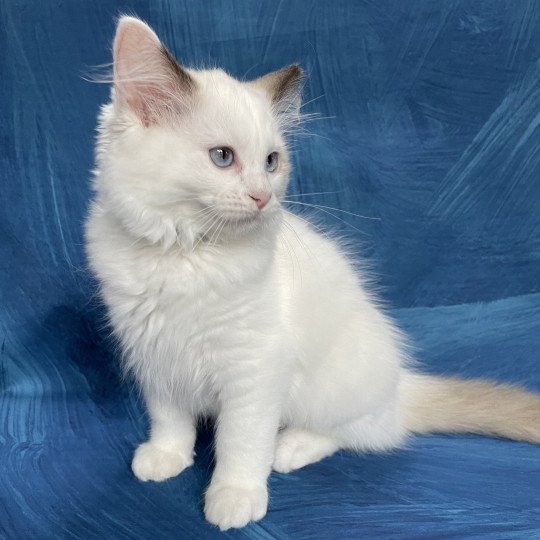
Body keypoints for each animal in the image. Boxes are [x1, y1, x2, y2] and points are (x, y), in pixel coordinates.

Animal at [85, 17, 540, 532]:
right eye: (222, 157)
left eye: (271, 162)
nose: (263, 197)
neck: (185, 253)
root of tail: (401, 386)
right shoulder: (156, 356)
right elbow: (169, 419)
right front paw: (166, 458)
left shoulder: (254, 371)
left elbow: (240, 442)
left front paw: (234, 496)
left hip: (331, 386)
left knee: (362, 432)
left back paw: (289, 448)